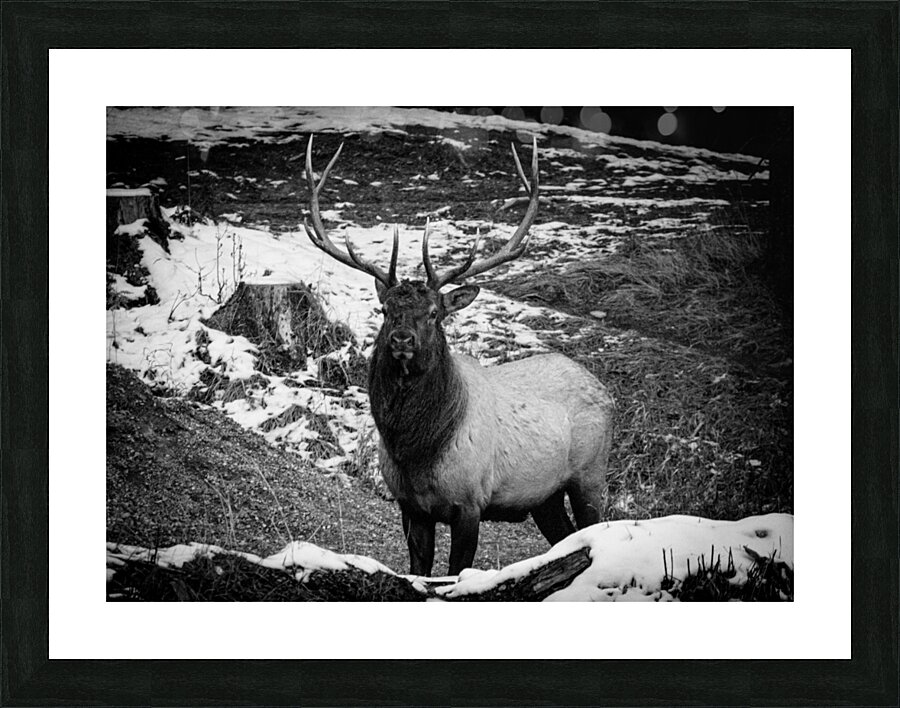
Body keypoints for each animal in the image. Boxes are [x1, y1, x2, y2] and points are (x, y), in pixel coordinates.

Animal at [303, 134, 615, 577]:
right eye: (386, 309)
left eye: (435, 312)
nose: (401, 339)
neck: (417, 453)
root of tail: (604, 389)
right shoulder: (410, 506)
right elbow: (419, 568)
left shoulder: (471, 501)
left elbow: (456, 571)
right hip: (544, 495)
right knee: (563, 537)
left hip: (591, 474)